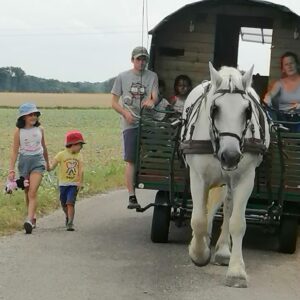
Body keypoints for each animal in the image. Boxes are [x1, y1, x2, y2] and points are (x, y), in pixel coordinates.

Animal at [180, 63, 270, 288]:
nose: (230, 156)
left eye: (247, 111)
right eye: (215, 109)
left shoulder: (245, 178)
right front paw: (198, 253)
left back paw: (221, 250)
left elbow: (238, 222)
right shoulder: (198, 177)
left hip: (229, 182)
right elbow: (198, 219)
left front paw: (236, 271)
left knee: (228, 207)